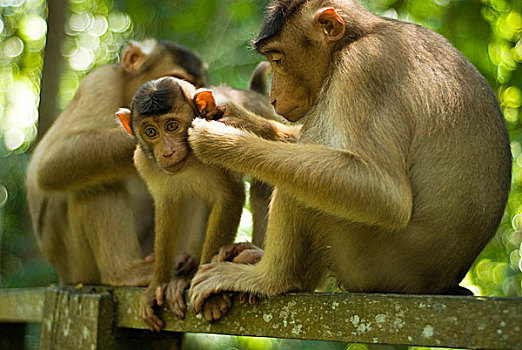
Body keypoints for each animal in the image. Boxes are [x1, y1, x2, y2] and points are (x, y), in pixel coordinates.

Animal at [25, 39, 205, 288]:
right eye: (176, 79)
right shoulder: (101, 82)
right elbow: (50, 164)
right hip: (73, 260)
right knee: (93, 183)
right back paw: (125, 272)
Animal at [186, 0, 508, 318]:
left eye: (277, 59)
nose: (274, 97)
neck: (363, 33)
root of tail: (442, 283)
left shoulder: (364, 66)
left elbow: (383, 192)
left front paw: (221, 142)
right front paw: (236, 118)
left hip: (372, 259)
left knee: (300, 189)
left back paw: (269, 279)